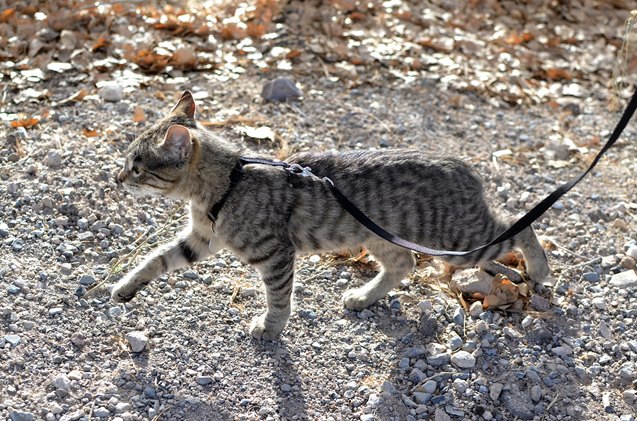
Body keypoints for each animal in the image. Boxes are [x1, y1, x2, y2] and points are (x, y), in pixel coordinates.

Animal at [112, 90, 548, 340]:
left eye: (137, 167)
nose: (117, 178)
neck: (228, 182)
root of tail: (463, 165)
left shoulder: (275, 254)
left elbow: (278, 297)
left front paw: (271, 328)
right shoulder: (201, 239)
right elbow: (156, 258)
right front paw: (126, 287)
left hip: (460, 240)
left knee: (519, 227)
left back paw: (540, 269)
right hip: (381, 237)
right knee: (403, 264)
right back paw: (364, 296)